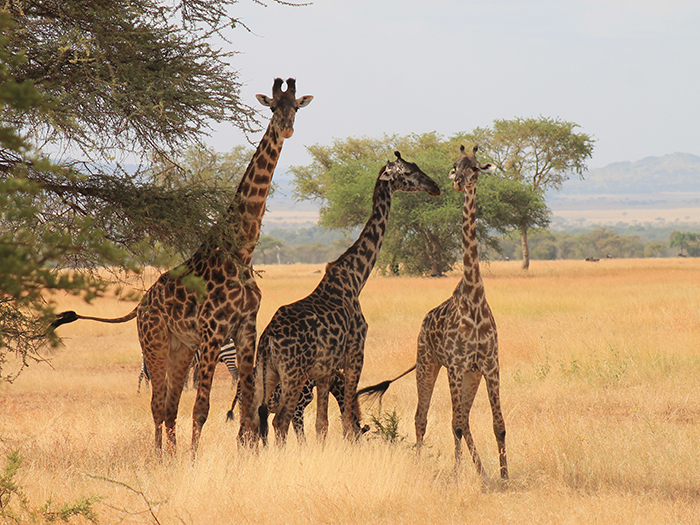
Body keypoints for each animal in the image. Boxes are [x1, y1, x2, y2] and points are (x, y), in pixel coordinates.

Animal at [54, 78, 314, 454]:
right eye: (271, 107)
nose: (287, 128)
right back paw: (161, 455)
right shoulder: (213, 330)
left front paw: (243, 455)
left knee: (169, 405)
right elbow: (202, 407)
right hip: (155, 341)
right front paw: (194, 459)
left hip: (180, 347)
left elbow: (248, 406)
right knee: (157, 405)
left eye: (295, 107)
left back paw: (171, 455)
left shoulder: (246, 328)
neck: (241, 252)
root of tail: (140, 304)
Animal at [250, 150, 438, 442]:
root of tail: (268, 339)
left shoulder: (325, 370)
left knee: (252, 421)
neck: (355, 279)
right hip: (293, 374)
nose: (435, 187)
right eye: (408, 172)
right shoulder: (355, 355)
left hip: (266, 374)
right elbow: (348, 422)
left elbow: (323, 424)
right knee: (280, 420)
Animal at [412, 145, 506, 482]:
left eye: (475, 168)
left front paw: (505, 477)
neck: (474, 299)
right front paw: (455, 477)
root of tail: (423, 322)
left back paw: (483, 473)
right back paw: (420, 465)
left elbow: (498, 425)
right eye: (455, 165)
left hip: (470, 375)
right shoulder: (454, 364)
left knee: (464, 419)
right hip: (427, 363)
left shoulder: (489, 365)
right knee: (422, 417)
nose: (457, 182)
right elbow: (453, 425)